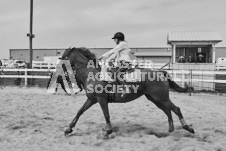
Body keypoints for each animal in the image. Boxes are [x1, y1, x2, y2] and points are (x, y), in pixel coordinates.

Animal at [61, 47, 194, 138]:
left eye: (65, 57)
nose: (61, 69)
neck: (92, 74)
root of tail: (160, 72)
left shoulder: (101, 99)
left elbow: (106, 115)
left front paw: (108, 131)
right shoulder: (92, 99)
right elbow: (80, 112)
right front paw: (68, 129)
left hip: (161, 98)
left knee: (176, 109)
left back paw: (187, 128)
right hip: (155, 99)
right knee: (168, 110)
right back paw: (170, 130)